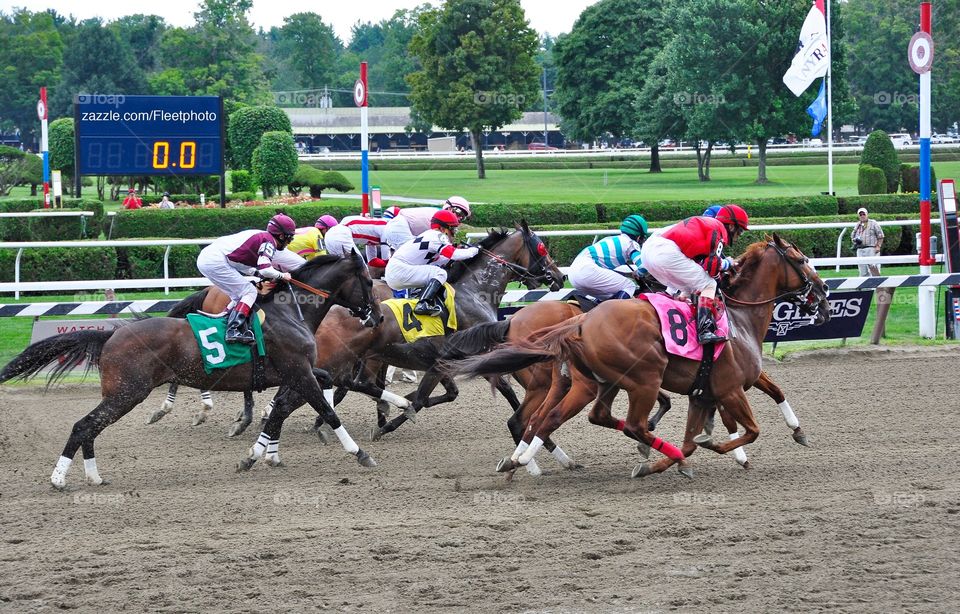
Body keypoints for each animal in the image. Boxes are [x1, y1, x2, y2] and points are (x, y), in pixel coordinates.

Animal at [0, 251, 382, 490]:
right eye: (367, 281)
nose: (377, 316)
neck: (291, 312)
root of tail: (112, 333)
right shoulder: (297, 370)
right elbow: (325, 410)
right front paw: (360, 453)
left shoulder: (297, 373)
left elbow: (287, 407)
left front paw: (256, 455)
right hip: (128, 392)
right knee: (84, 425)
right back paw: (59, 479)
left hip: (122, 393)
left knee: (90, 427)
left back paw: (93, 478)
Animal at [450, 236, 832, 482]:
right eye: (801, 260)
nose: (824, 292)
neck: (738, 317)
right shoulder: (729, 387)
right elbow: (745, 429)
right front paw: (722, 450)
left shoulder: (706, 391)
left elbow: (762, 397)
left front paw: (796, 431)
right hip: (633, 379)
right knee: (548, 421)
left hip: (586, 383)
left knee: (548, 420)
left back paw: (524, 462)